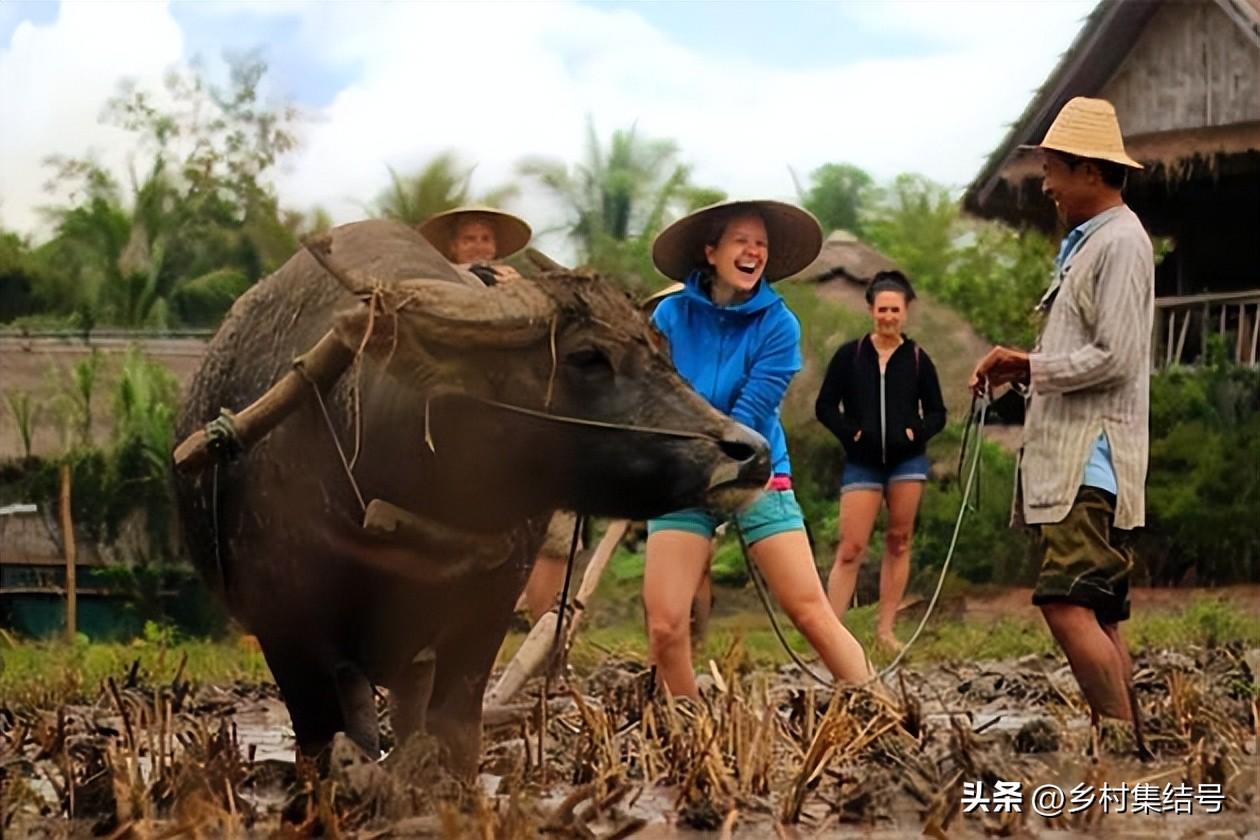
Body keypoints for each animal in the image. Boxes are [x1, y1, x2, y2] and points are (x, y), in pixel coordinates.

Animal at [173, 221, 766, 775]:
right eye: (587, 356)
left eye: (665, 352)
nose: (750, 452)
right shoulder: (286, 629)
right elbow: (326, 744)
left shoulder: (487, 610)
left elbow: (454, 733)